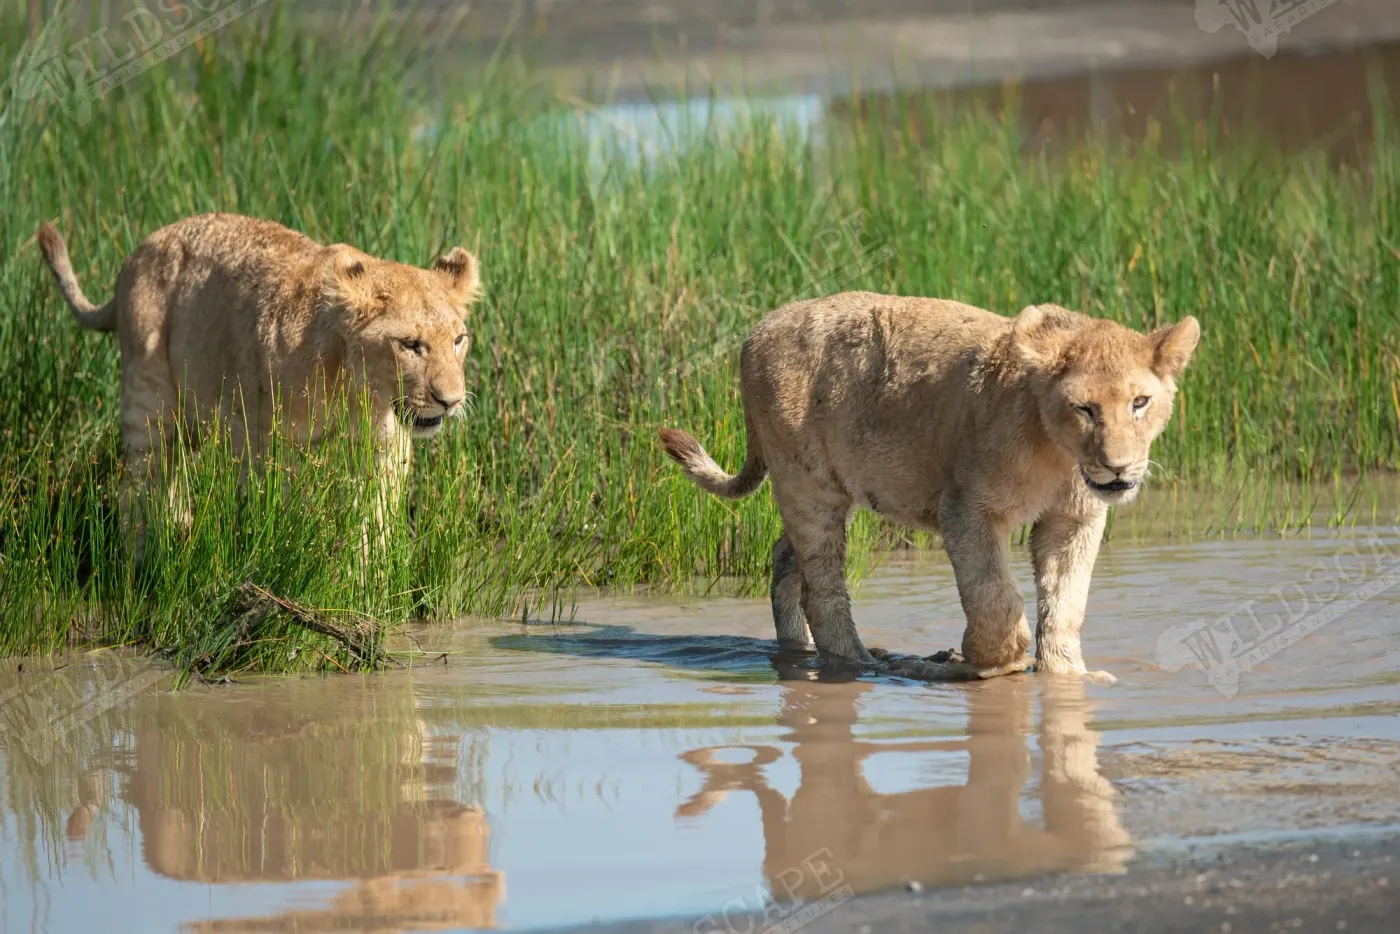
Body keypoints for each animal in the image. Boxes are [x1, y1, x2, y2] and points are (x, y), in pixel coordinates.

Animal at [37, 212, 481, 566]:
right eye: (410, 345)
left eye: (458, 340)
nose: (451, 400)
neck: (357, 393)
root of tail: (135, 256)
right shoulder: (255, 436)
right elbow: (274, 509)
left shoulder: (384, 448)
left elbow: (374, 520)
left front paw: (369, 582)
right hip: (148, 393)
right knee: (139, 481)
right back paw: (141, 561)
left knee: (171, 474)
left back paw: (177, 535)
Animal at [659, 292, 1200, 682]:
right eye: (1085, 408)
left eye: (1139, 402)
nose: (1118, 469)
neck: (1060, 455)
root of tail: (757, 330)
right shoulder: (966, 506)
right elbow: (994, 597)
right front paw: (990, 661)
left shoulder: (1075, 519)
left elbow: (1066, 602)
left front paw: (1067, 677)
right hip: (807, 482)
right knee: (822, 587)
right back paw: (870, 662)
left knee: (785, 564)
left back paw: (803, 652)